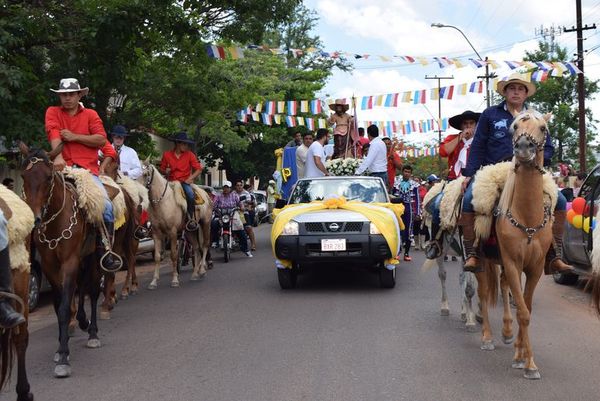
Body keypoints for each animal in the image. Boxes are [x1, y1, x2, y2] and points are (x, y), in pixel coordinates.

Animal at [18, 142, 104, 376]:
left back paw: (93, 333)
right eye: (23, 176)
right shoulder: (50, 266)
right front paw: (60, 345)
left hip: (92, 258)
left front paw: (64, 357)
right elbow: (58, 306)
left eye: (48, 177)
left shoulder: (69, 262)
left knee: (93, 291)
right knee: (81, 288)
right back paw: (82, 320)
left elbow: (65, 306)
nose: (35, 218)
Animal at [141, 161, 213, 290]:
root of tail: (206, 194)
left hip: (205, 223)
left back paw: (201, 270)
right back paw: (194, 274)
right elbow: (157, 257)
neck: (162, 202)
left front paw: (175, 280)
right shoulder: (156, 233)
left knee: (205, 245)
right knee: (196, 247)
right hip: (189, 231)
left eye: (145, 174)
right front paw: (153, 282)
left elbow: (174, 255)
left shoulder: (172, 232)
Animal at [476, 111, 556, 380]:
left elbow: (526, 307)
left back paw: (507, 332)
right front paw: (529, 363)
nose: (523, 147)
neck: (527, 218)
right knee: (482, 293)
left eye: (543, 128)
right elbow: (523, 311)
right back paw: (488, 337)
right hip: (481, 262)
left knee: (502, 287)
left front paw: (521, 354)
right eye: (514, 127)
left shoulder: (535, 268)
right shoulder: (512, 263)